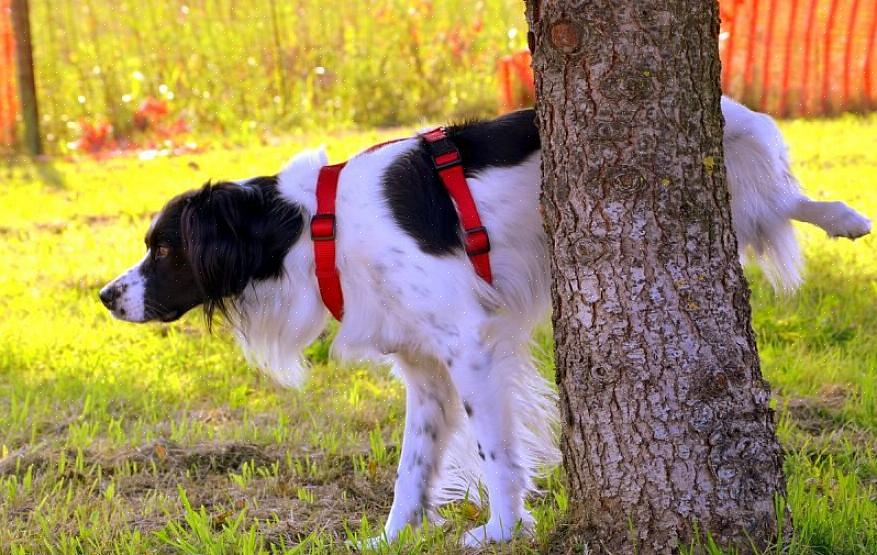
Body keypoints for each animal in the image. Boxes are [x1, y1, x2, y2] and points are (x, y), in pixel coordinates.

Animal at [101, 96, 868, 548]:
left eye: (164, 249)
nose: (107, 296)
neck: (316, 228)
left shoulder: (469, 346)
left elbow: (496, 453)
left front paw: (502, 529)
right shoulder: (424, 370)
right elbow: (412, 470)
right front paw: (393, 537)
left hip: (735, 167)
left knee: (785, 196)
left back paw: (846, 217)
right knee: (776, 203)